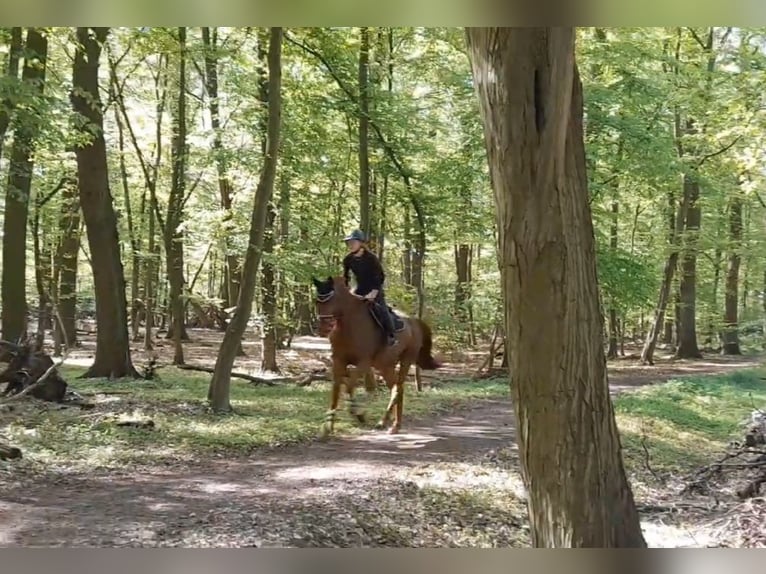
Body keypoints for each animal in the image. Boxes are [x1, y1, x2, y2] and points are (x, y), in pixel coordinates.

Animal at [311, 275, 440, 436]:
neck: (350, 326)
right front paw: (327, 427)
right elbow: (336, 391)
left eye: (331, 300)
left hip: (405, 360)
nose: (322, 329)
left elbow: (349, 386)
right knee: (396, 388)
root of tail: (414, 322)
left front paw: (358, 414)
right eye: (317, 301)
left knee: (397, 389)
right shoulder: (338, 361)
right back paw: (391, 424)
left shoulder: (363, 362)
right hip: (385, 365)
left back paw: (388, 424)